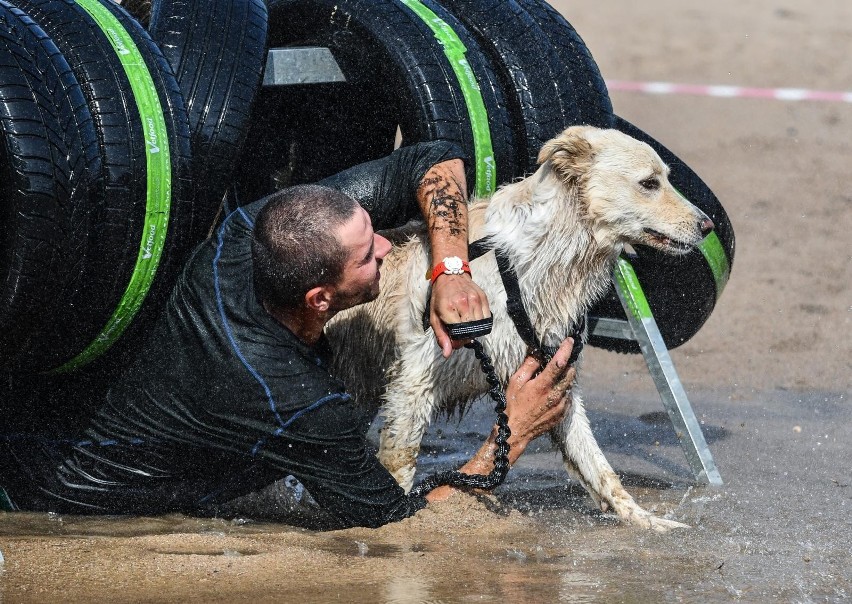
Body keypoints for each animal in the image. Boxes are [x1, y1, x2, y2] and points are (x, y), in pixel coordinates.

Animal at [326, 125, 712, 532]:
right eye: (649, 183)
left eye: (667, 178)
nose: (707, 225)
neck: (537, 260)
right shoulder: (414, 381)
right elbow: (399, 467)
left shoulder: (556, 373)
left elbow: (599, 467)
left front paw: (650, 523)